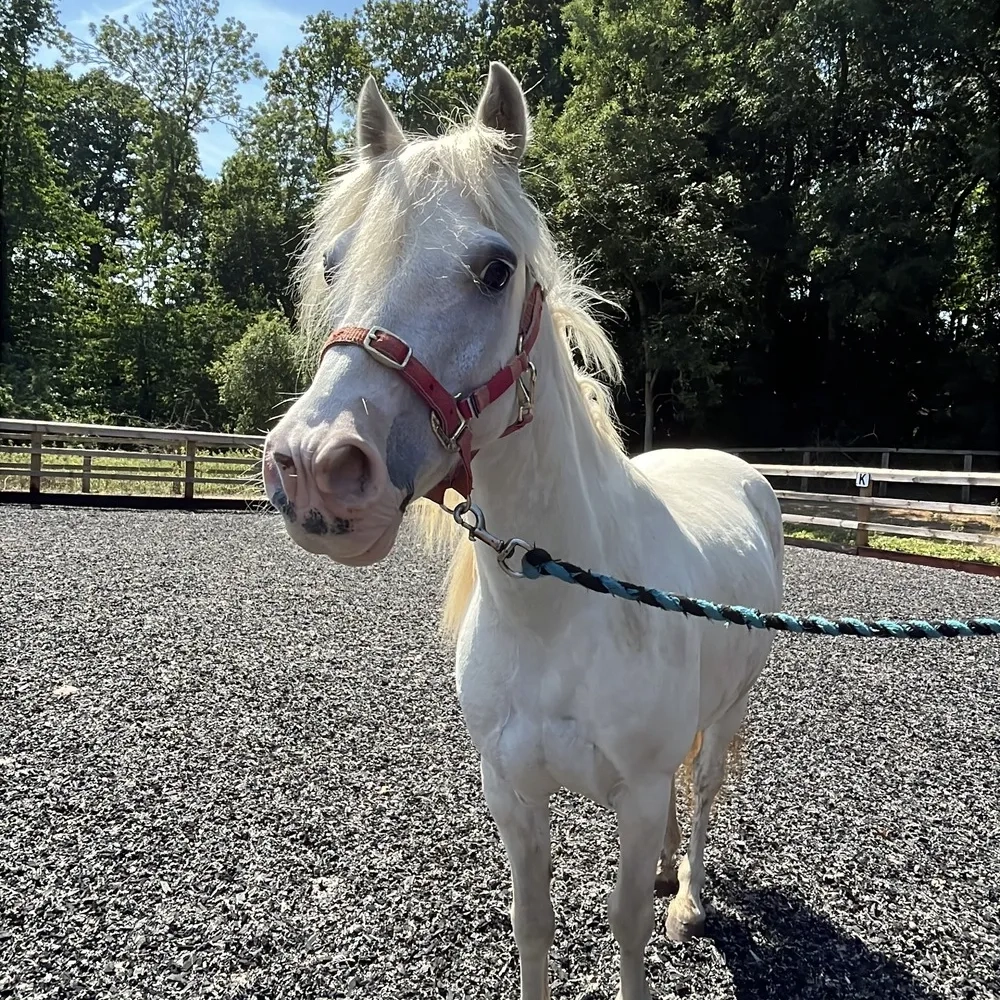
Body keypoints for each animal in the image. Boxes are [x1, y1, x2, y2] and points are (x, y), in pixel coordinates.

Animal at [261, 62, 784, 1000]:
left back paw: (689, 897)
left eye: (496, 270)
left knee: (705, 791)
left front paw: (660, 914)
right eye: (332, 262)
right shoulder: (511, 791)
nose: (314, 466)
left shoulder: (638, 795)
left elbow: (627, 924)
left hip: (731, 712)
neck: (562, 612)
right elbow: (532, 924)